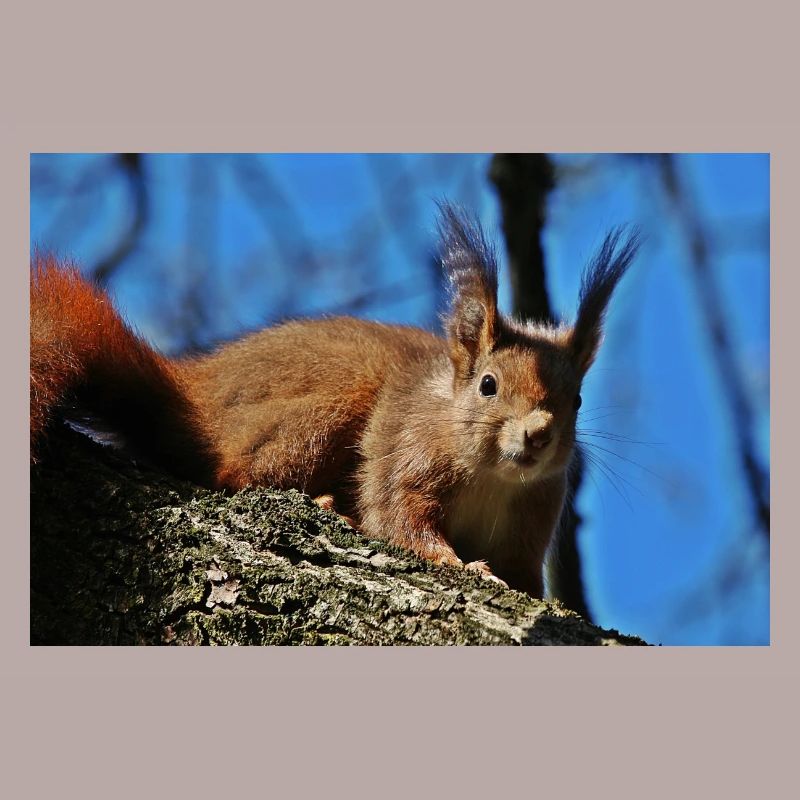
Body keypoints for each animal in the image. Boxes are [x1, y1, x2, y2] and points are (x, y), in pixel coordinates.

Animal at [30, 204, 639, 597]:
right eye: (488, 385)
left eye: (577, 400)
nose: (537, 433)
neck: (493, 475)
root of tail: (194, 392)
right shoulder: (406, 456)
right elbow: (400, 520)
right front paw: (461, 565)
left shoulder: (531, 523)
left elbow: (523, 578)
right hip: (326, 408)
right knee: (232, 473)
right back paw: (321, 503)